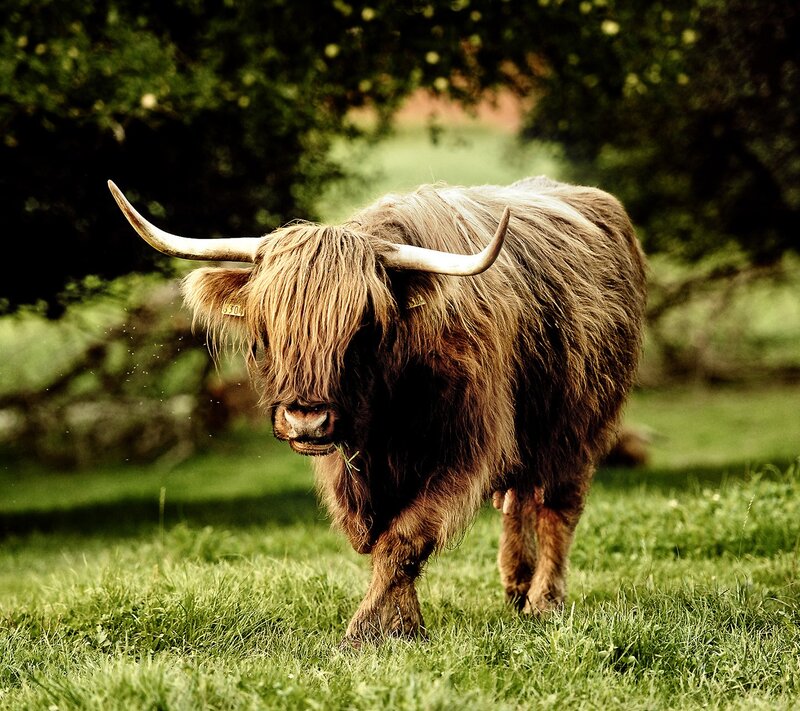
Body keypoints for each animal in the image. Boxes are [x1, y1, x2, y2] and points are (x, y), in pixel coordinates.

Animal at [108, 175, 647, 644]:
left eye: (363, 327)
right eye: (267, 326)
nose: (306, 418)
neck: (389, 408)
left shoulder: (465, 449)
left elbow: (405, 538)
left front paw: (368, 630)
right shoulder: (347, 467)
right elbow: (374, 538)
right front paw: (404, 624)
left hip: (577, 425)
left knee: (557, 506)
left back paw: (543, 601)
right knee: (518, 499)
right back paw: (515, 585)